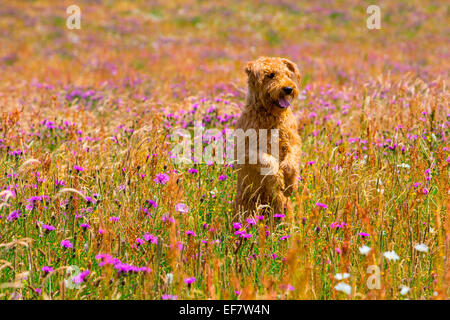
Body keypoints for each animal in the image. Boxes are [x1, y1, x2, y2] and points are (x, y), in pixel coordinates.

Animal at [234, 57, 300, 218]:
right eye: (270, 75)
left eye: (287, 74)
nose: (289, 89)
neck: (271, 115)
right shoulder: (247, 150)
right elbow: (268, 160)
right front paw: (278, 178)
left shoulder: (293, 142)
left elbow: (291, 162)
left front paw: (289, 183)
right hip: (244, 204)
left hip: (284, 207)